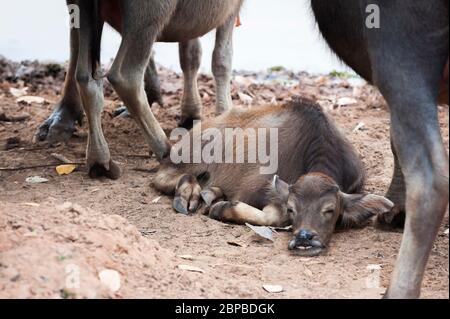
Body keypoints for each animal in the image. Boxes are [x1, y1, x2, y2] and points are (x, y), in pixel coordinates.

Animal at [154, 99, 394, 258]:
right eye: (292, 209)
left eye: (329, 209)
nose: (305, 238)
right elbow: (273, 218)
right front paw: (221, 208)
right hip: (189, 156)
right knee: (163, 176)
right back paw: (189, 193)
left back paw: (210, 193)